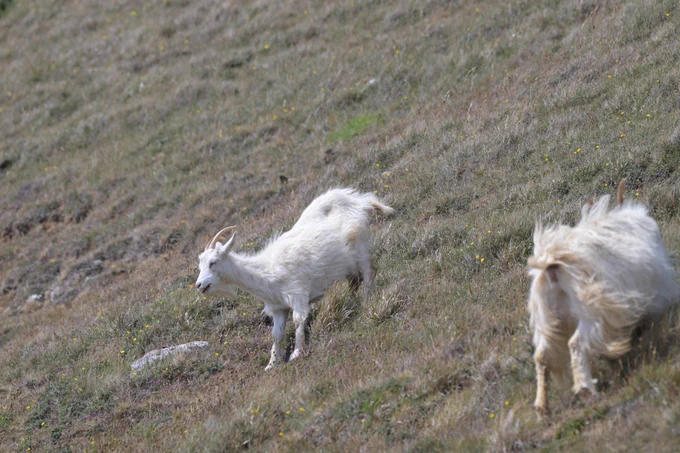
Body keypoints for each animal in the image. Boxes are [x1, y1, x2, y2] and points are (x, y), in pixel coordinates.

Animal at [195, 188, 394, 370]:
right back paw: (352, 301)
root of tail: (360, 200)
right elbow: (276, 334)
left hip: (360, 246)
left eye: (213, 262)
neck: (266, 271)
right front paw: (271, 363)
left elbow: (299, 320)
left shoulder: (297, 293)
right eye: (200, 264)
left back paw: (367, 300)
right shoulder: (278, 308)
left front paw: (297, 353)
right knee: (354, 281)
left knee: (369, 272)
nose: (199, 285)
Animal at [527, 180, 680, 414]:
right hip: (592, 311)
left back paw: (542, 406)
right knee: (575, 344)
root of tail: (552, 268)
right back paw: (586, 389)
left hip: (547, 318)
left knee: (542, 356)